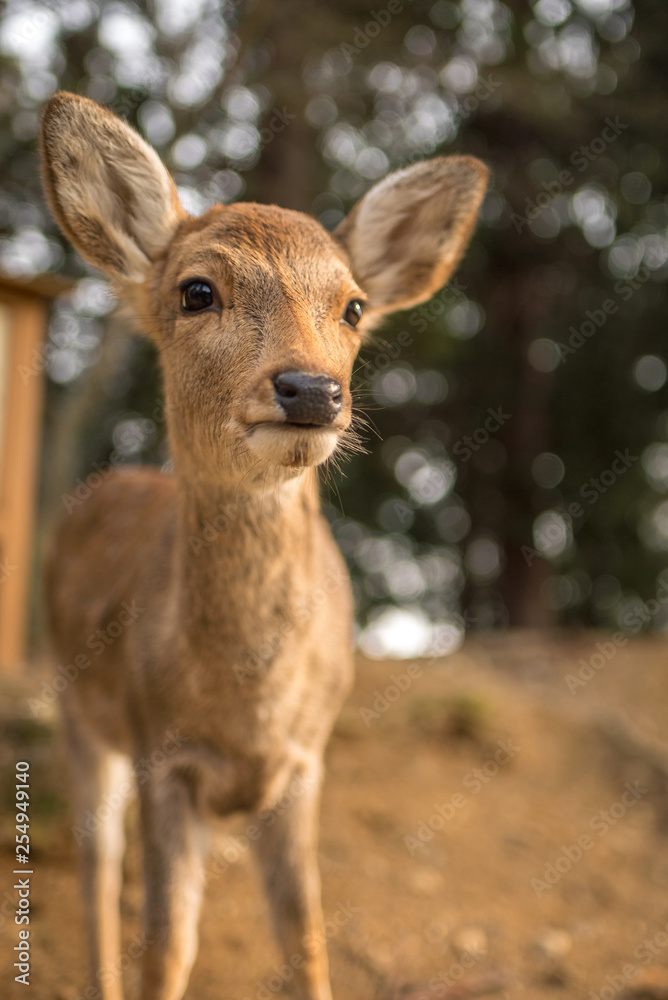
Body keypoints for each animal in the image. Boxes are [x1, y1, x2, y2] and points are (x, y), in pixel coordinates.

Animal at [39, 91, 488, 1000]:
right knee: (98, 870)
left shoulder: (305, 761)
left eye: (354, 307)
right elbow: (167, 947)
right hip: (73, 704)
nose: (311, 388)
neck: (247, 705)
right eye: (196, 290)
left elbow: (302, 936)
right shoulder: (160, 748)